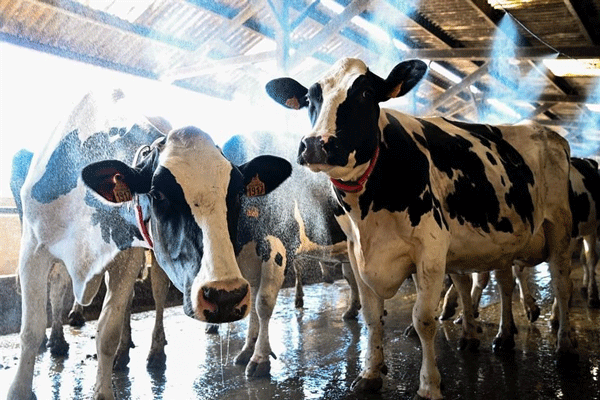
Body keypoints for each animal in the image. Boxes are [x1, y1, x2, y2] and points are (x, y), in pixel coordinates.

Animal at [8, 90, 292, 400]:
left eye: (238, 193)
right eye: (158, 195)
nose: (225, 297)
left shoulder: (126, 256)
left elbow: (107, 331)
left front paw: (103, 389)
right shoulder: (33, 250)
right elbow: (32, 329)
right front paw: (20, 388)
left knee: (156, 294)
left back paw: (153, 352)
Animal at [268, 57, 576, 400]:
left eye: (365, 93)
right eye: (310, 98)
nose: (315, 144)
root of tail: (548, 134)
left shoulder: (430, 249)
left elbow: (424, 319)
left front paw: (429, 385)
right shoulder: (357, 252)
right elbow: (371, 315)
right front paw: (370, 373)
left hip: (560, 228)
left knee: (562, 285)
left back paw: (563, 346)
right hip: (502, 244)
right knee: (503, 284)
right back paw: (500, 336)